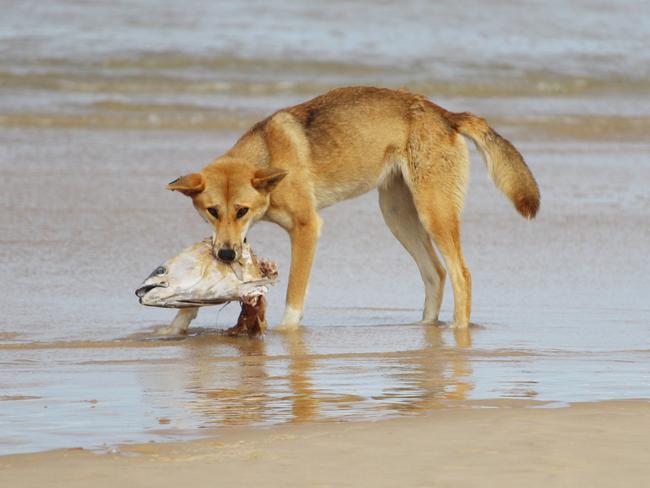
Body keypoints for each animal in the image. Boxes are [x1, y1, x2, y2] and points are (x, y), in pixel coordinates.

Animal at [168, 86, 536, 330]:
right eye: (212, 211)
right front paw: (175, 326)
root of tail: (446, 115)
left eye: (242, 210)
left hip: (434, 214)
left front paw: (286, 336)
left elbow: (293, 299)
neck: (269, 155)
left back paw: (459, 332)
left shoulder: (306, 228)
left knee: (461, 274)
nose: (226, 255)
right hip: (397, 216)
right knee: (435, 273)